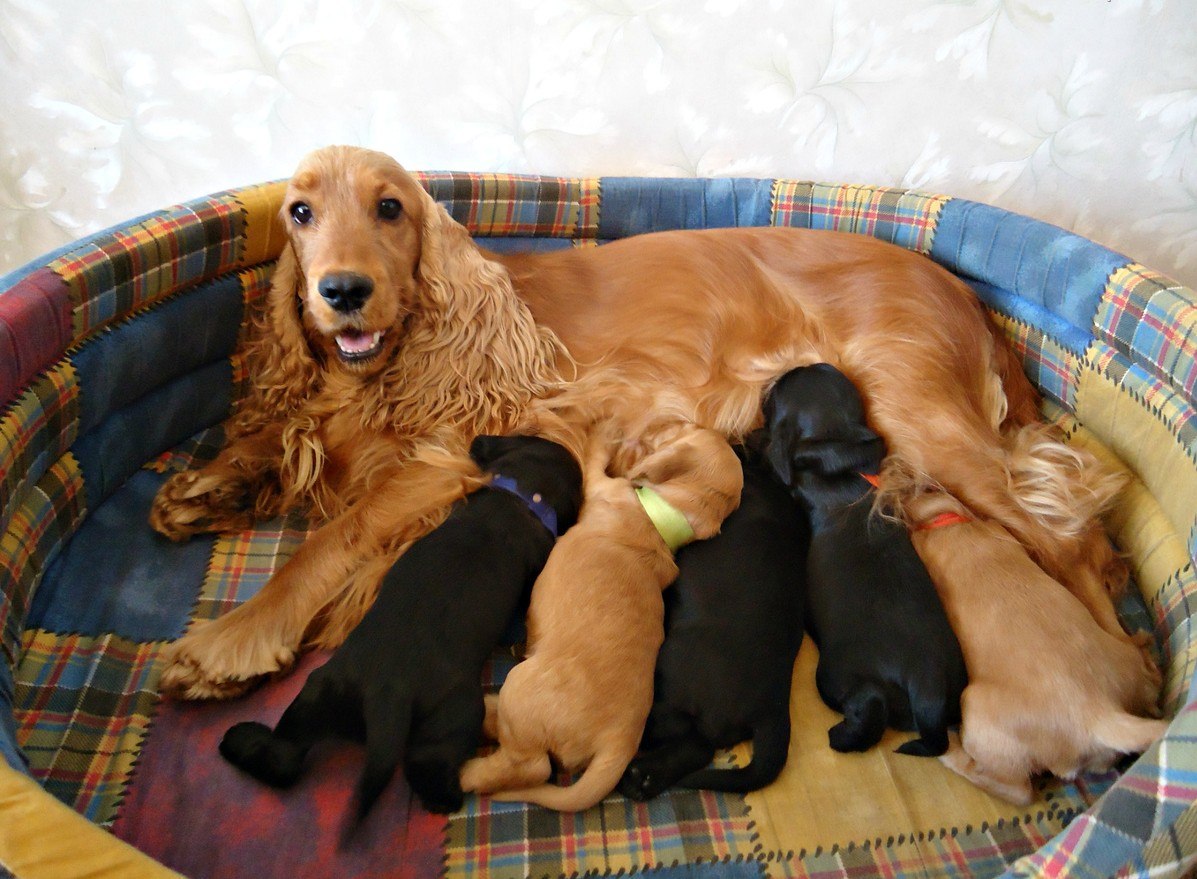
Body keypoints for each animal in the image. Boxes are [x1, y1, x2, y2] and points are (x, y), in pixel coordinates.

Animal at [152, 149, 1129, 704]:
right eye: (300, 213)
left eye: (390, 208)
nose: (341, 290)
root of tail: (961, 291)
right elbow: (286, 442)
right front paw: (212, 484)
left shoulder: (450, 452)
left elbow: (335, 538)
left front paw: (232, 640)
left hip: (918, 414)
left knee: (1071, 539)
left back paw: (1120, 676)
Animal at [223, 435, 584, 819]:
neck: (520, 495)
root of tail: (387, 696)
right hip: (454, 716)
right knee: (427, 771)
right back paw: (452, 795)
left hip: (317, 694)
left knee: (284, 756)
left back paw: (238, 739)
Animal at [761, 364, 967, 756]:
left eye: (779, 391)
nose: (780, 373)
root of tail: (927, 683)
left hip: (837, 675)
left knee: (870, 703)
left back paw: (843, 737)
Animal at [904, 493, 1158, 809]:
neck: (951, 526)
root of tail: (1101, 715)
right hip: (1126, 662)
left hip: (976, 708)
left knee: (1016, 790)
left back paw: (950, 753)